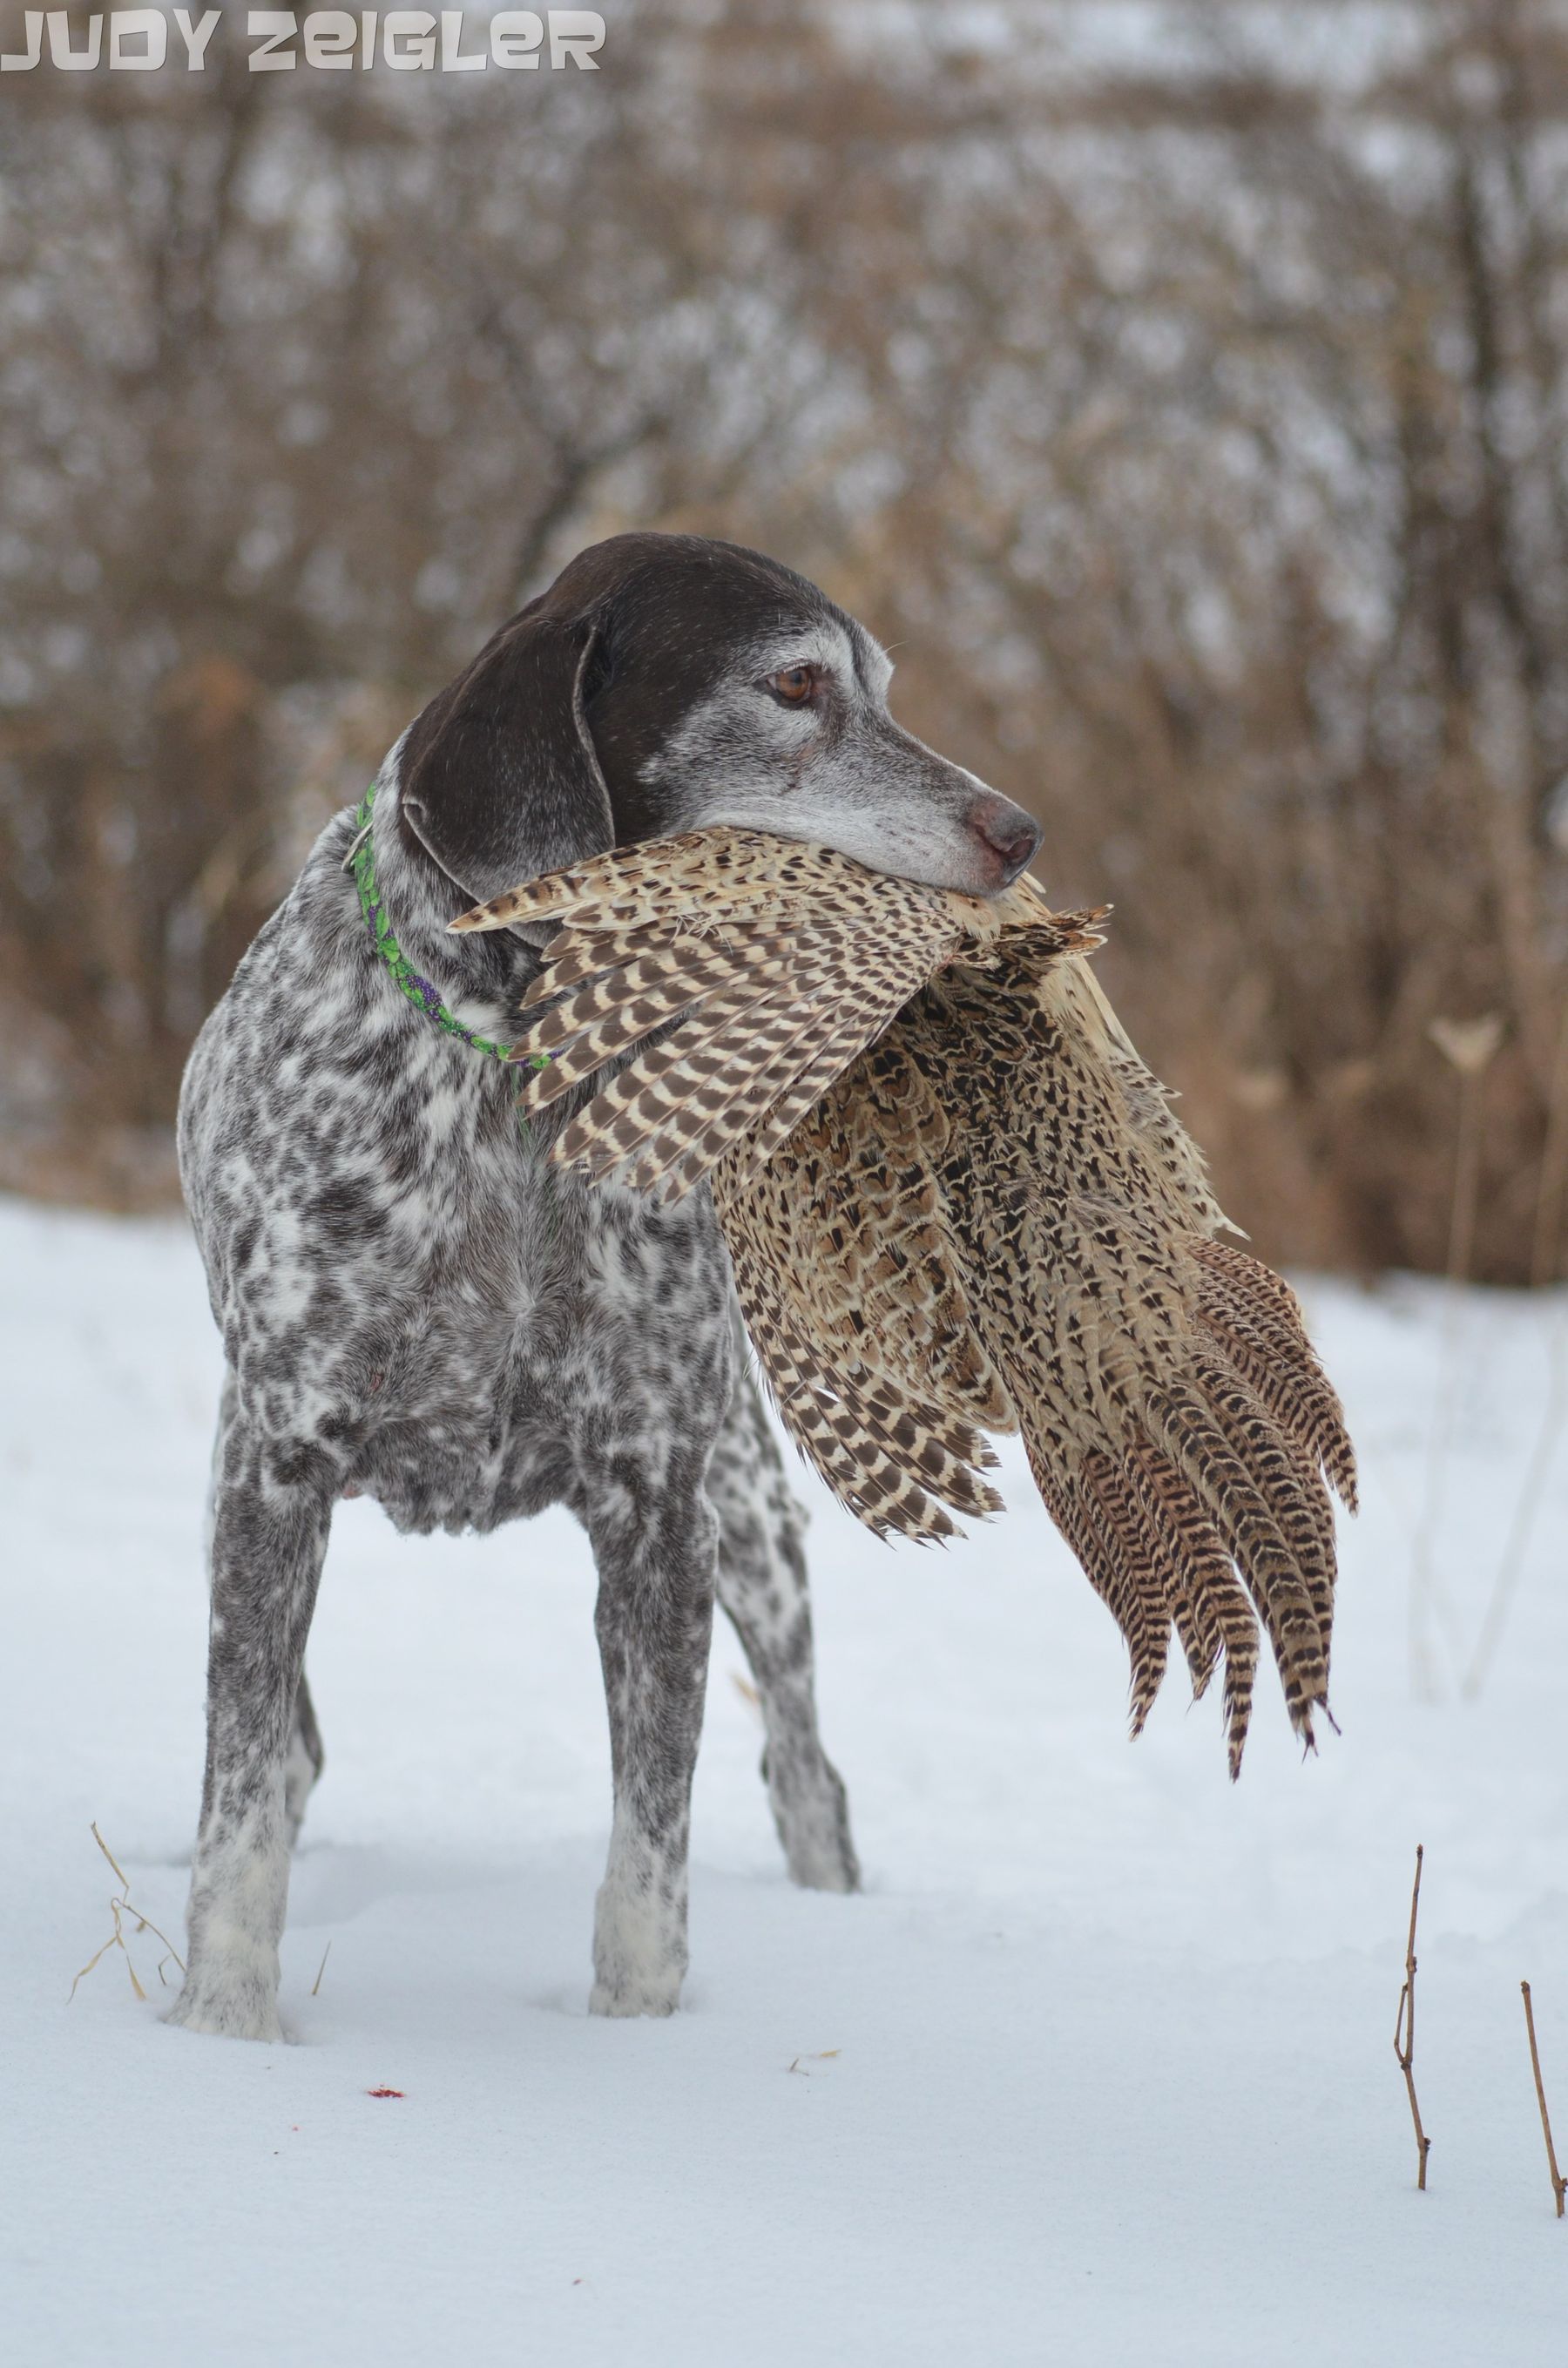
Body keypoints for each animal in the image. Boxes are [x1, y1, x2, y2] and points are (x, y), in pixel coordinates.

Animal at [175, 532, 1042, 2036]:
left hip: (751, 1516)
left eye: (880, 683)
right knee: (284, 1743)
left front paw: (635, 2038)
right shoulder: (277, 1459)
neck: (517, 1078)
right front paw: (224, 2029)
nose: (1018, 831)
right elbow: (243, 1801)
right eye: (796, 683)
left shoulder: (657, 1505)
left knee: (805, 1770)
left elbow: (653, 1838)